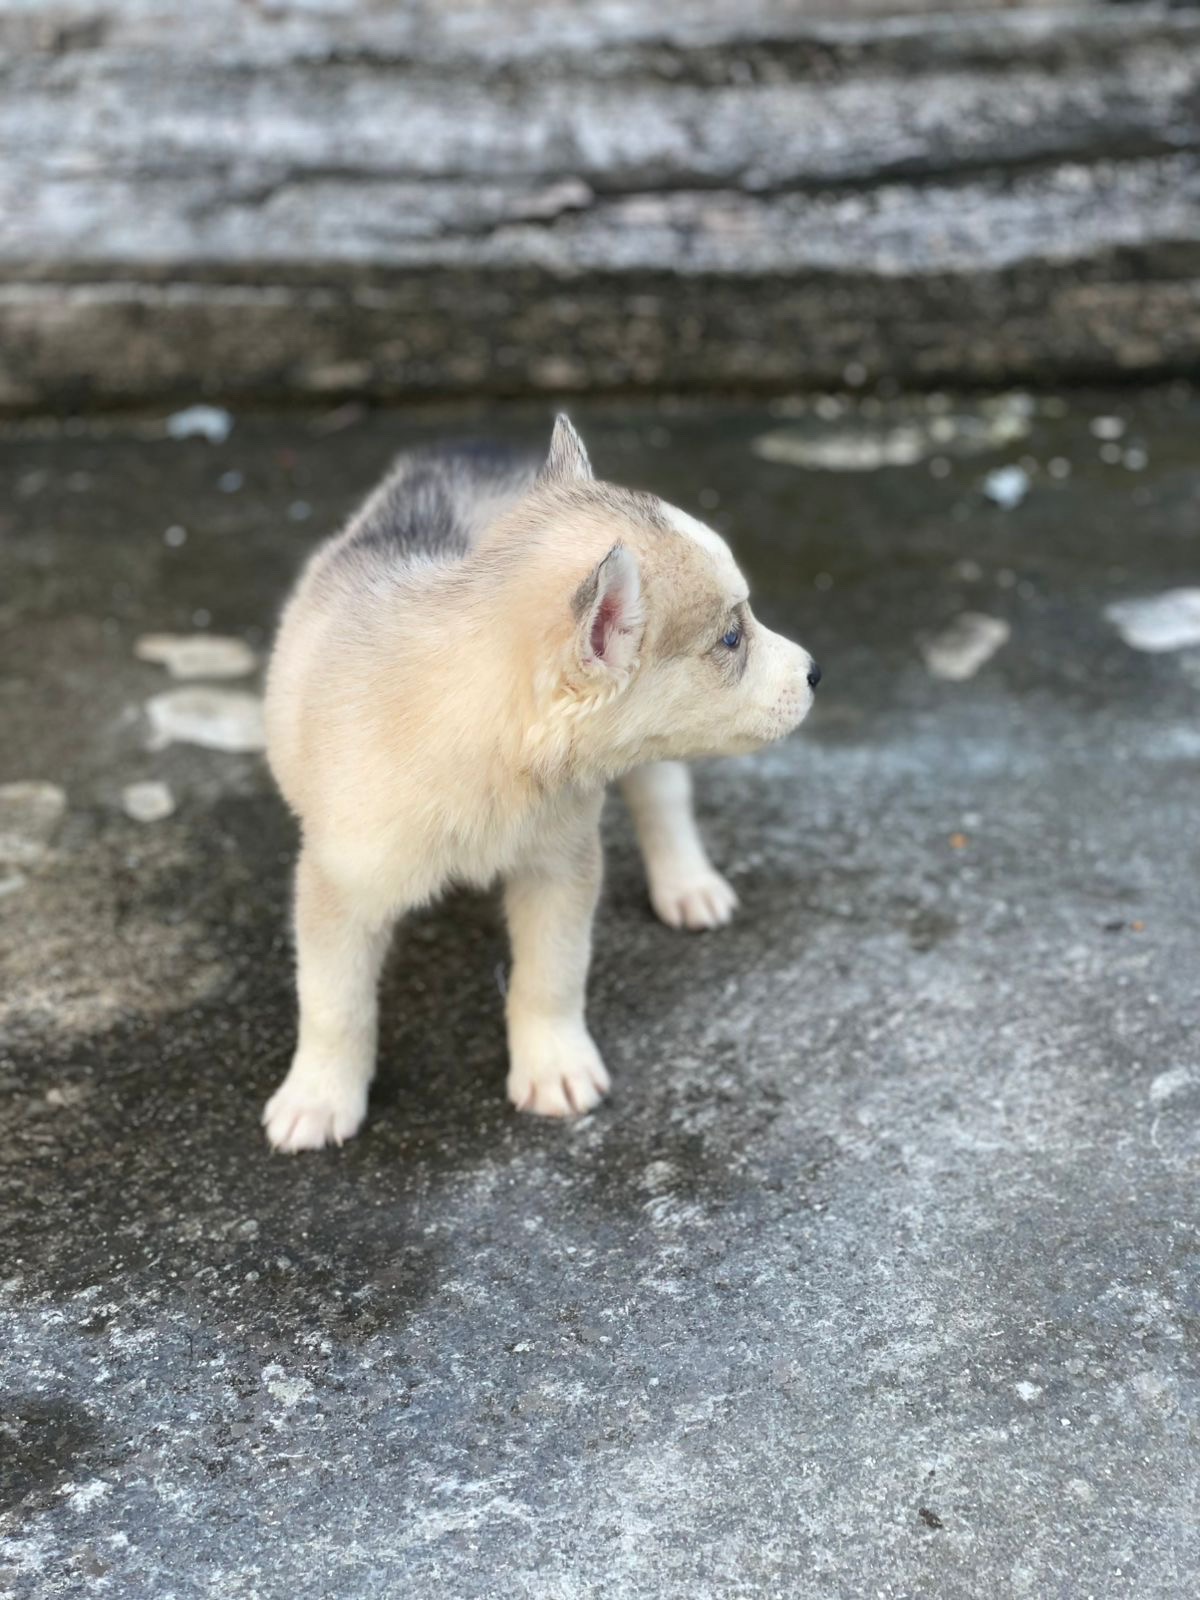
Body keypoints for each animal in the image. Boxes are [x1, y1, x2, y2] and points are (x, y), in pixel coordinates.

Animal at [262, 416, 825, 1152]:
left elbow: (551, 975)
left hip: (647, 759)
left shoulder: (561, 866)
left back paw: (687, 884)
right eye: (731, 638)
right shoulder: (339, 883)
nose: (816, 672)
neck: (476, 732)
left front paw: (553, 1065)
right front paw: (320, 1096)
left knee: (664, 795)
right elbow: (334, 1002)